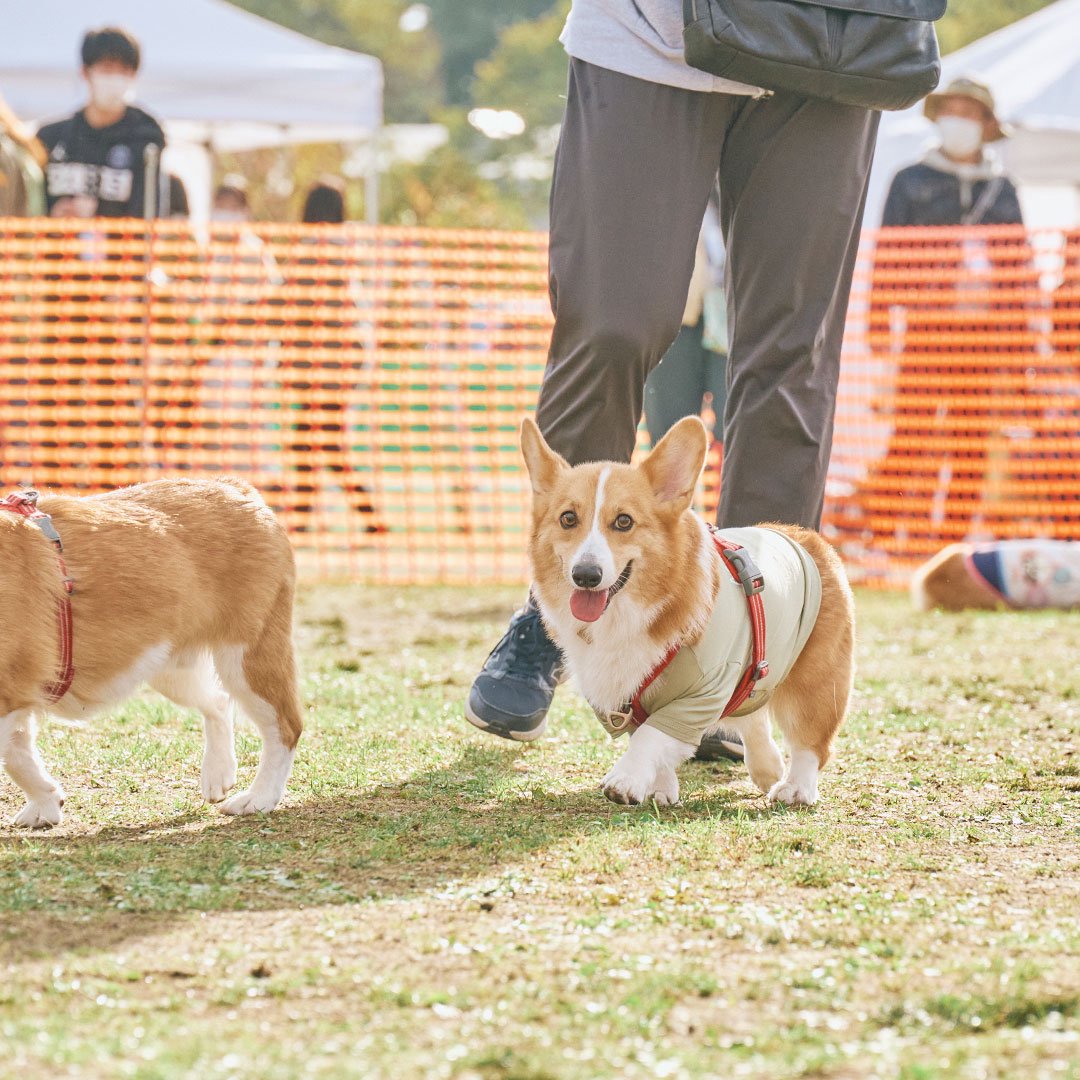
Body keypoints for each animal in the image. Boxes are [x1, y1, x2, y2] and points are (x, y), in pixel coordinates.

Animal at [2, 479, 304, 825]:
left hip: (245, 659)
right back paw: (219, 773)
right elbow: (17, 756)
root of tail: (236, 487)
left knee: (285, 727)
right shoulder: (16, 696)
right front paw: (46, 803)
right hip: (163, 666)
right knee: (218, 701)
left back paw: (259, 797)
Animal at [518, 416, 855, 807]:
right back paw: (767, 766)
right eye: (568, 519)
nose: (585, 575)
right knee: (752, 714)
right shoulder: (631, 699)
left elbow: (650, 737)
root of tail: (804, 538)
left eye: (624, 522)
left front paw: (625, 780)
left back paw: (796, 787)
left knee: (810, 741)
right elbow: (649, 736)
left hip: (816, 680)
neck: (628, 615)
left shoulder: (701, 694)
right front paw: (660, 789)